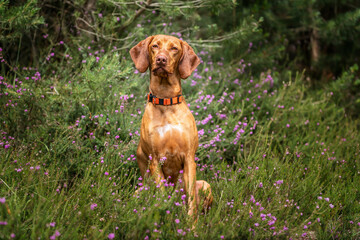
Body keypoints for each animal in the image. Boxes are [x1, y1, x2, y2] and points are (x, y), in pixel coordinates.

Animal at [130, 34, 212, 218]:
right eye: (155, 46)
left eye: (174, 48)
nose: (161, 59)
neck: (165, 101)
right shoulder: (155, 160)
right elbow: (161, 196)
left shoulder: (189, 158)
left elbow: (191, 201)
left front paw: (191, 225)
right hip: (138, 192)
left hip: (205, 185)